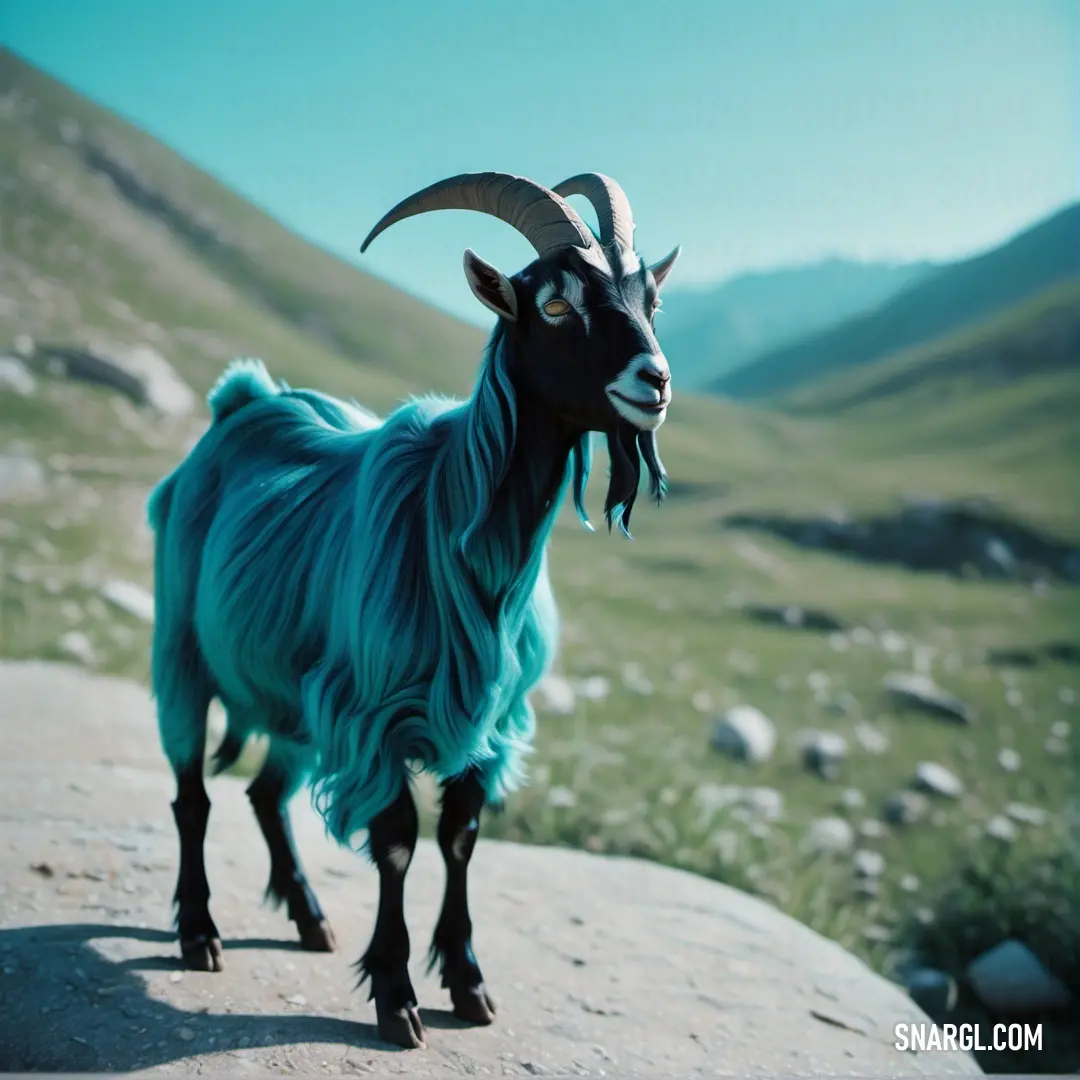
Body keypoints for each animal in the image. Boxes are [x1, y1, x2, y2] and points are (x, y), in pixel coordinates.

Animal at [147, 172, 678, 1049]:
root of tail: (240, 401)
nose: (656, 380)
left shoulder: (490, 722)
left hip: (290, 695)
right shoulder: (372, 712)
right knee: (192, 797)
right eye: (555, 304)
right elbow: (396, 842)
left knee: (265, 795)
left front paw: (467, 983)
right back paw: (199, 933)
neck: (456, 523)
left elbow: (460, 840)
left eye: (650, 299)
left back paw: (309, 918)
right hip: (182, 654)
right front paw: (396, 995)